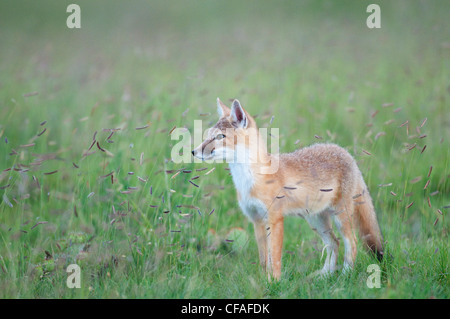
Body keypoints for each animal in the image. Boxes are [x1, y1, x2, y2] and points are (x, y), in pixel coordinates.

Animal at [192, 99, 384, 282]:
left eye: (220, 136)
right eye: (208, 136)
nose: (194, 151)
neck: (250, 179)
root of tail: (345, 152)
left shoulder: (275, 219)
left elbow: (275, 258)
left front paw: (274, 283)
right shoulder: (257, 220)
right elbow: (264, 260)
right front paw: (262, 282)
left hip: (340, 217)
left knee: (352, 243)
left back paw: (345, 276)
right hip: (316, 220)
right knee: (334, 243)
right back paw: (324, 276)